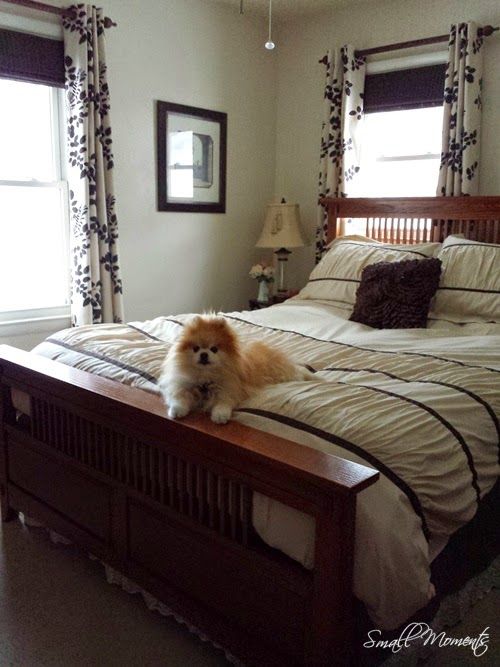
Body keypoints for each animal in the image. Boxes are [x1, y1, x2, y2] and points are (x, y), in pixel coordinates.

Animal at [158, 318, 314, 422]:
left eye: (214, 349)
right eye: (196, 348)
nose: (204, 354)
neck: (206, 378)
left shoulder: (230, 389)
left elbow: (224, 402)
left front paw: (220, 415)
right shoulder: (182, 385)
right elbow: (179, 398)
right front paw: (177, 410)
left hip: (283, 373)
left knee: (299, 372)